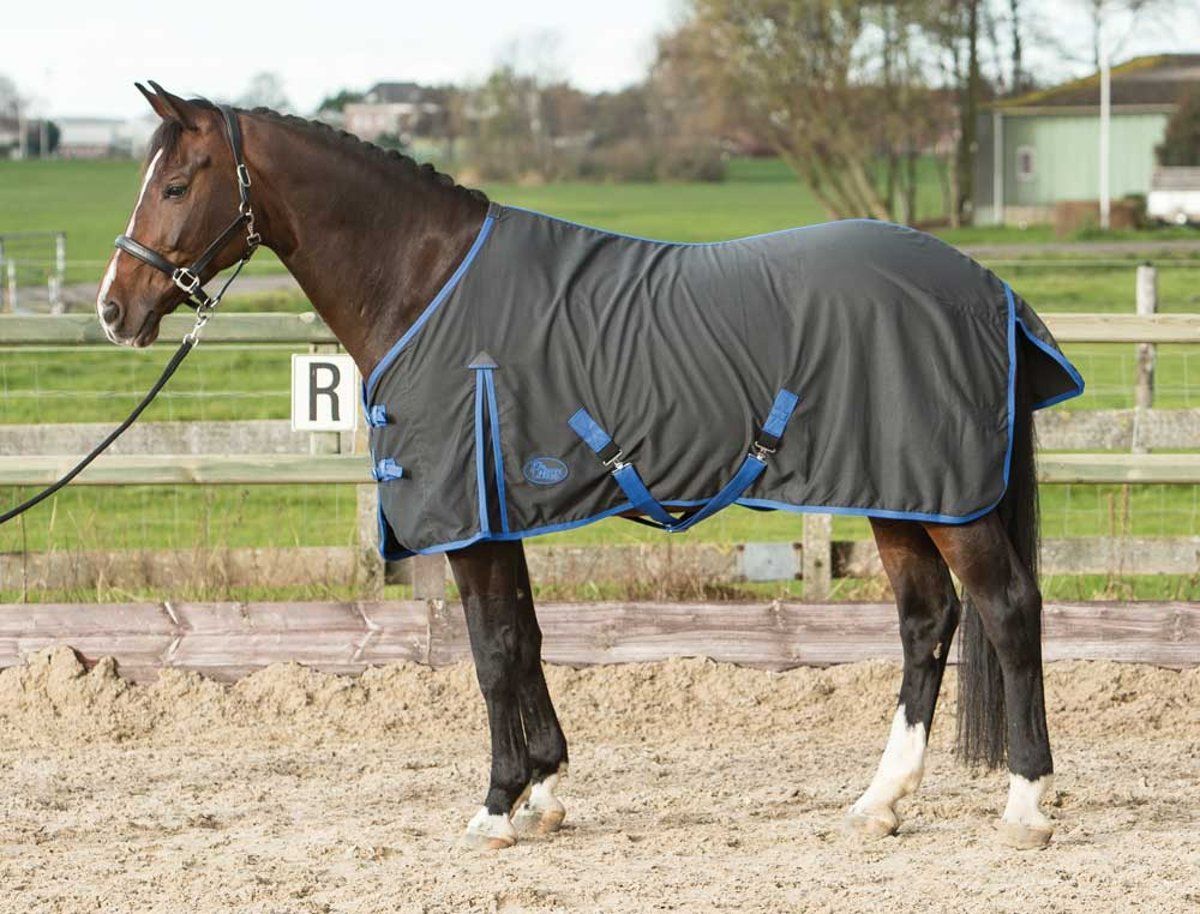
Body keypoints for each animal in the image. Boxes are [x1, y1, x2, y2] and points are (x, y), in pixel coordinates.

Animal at [96, 83, 1082, 852]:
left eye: (176, 184)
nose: (114, 310)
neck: (427, 283)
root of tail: (986, 286)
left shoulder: (471, 517)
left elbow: (491, 649)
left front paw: (496, 807)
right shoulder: (502, 511)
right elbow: (525, 638)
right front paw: (544, 790)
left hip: (951, 500)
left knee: (1007, 608)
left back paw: (1026, 806)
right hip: (900, 494)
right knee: (927, 620)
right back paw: (879, 804)